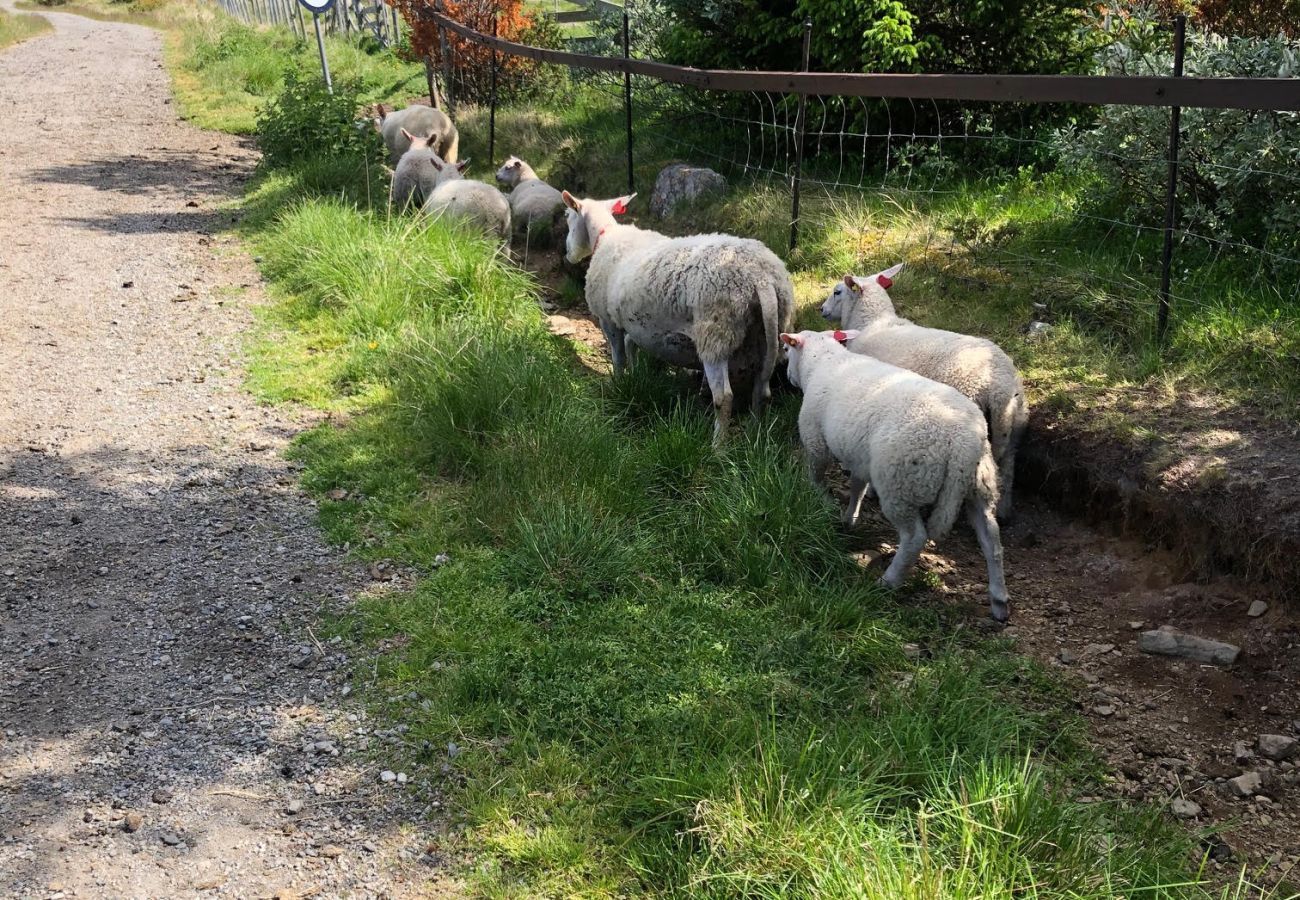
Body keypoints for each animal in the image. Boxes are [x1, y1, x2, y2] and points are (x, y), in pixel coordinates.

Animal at [556, 191, 790, 444]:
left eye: (568, 216)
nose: (567, 254)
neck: (606, 237)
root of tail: (761, 277)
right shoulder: (634, 321)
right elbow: (631, 345)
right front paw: (635, 376)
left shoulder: (608, 319)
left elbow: (618, 357)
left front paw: (617, 383)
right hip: (765, 336)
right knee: (762, 390)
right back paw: (755, 435)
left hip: (716, 333)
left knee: (724, 397)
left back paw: (717, 446)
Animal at [774, 326, 1008, 621]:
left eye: (786, 349)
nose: (787, 377)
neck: (822, 362)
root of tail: (963, 443)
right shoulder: (859, 456)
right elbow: (857, 488)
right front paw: (849, 518)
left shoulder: (815, 440)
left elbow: (816, 477)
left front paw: (823, 503)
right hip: (978, 484)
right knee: (992, 540)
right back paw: (999, 600)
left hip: (901, 483)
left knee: (914, 538)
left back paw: (889, 581)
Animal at [821, 264, 1024, 517]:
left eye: (837, 292)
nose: (822, 310)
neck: (871, 322)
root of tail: (1000, 387)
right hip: (1013, 426)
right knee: (1008, 465)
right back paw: (1004, 510)